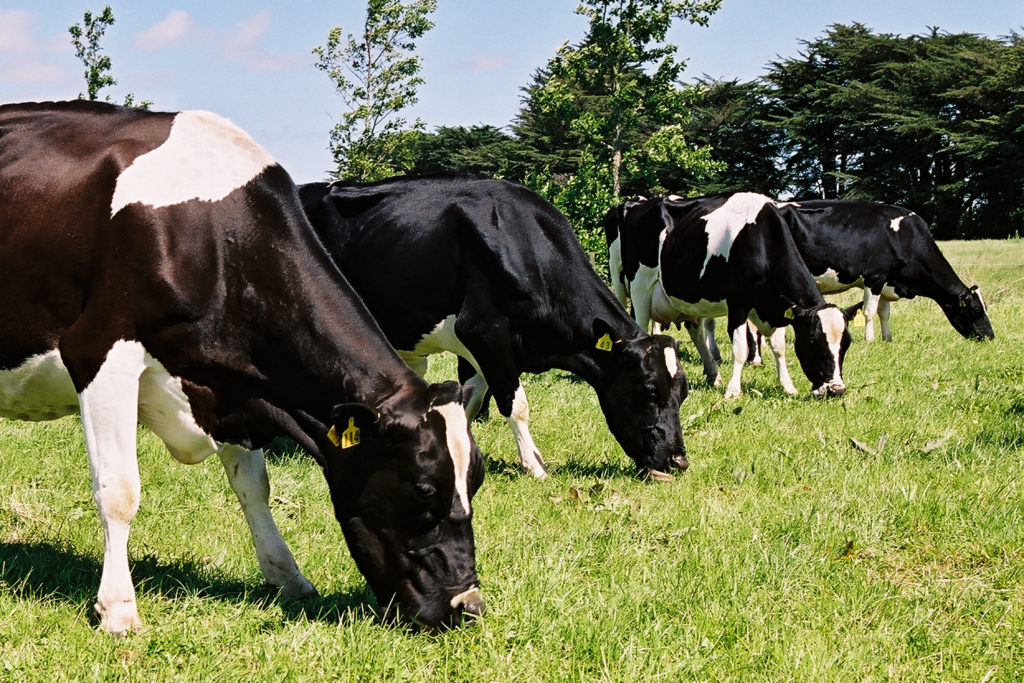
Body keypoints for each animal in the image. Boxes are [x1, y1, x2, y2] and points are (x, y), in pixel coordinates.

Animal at [0, 101, 485, 634]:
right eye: (423, 488)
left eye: (476, 479)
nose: (469, 606)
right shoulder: (99, 350)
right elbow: (119, 490)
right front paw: (118, 609)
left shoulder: (235, 380)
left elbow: (254, 486)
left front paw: (286, 575)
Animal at [299, 179, 692, 483]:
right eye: (648, 390)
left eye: (683, 393)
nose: (679, 461)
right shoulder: (484, 331)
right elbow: (516, 405)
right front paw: (535, 466)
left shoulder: (487, 350)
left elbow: (471, 400)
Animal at [602, 192, 851, 397]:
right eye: (813, 340)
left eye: (846, 343)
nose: (837, 389)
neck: (761, 237)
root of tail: (635, 203)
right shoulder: (737, 302)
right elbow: (740, 349)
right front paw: (733, 391)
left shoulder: (774, 305)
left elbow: (778, 346)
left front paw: (788, 386)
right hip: (636, 285)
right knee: (639, 325)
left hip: (685, 296)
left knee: (696, 331)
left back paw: (713, 374)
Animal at [774, 200, 991, 344]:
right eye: (976, 310)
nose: (990, 336)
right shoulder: (874, 278)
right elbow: (869, 312)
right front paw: (869, 340)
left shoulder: (888, 281)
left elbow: (884, 313)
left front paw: (887, 338)